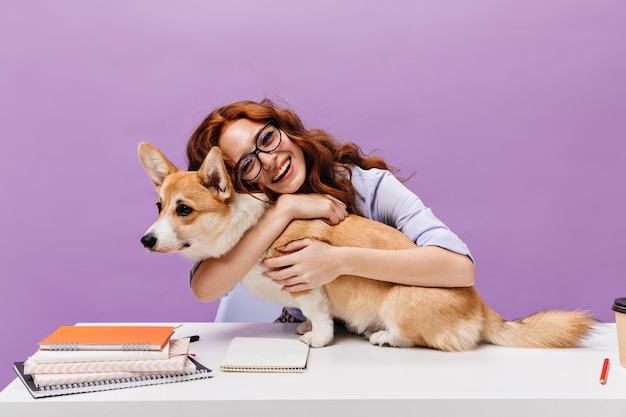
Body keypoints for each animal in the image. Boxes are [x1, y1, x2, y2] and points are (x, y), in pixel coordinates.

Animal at [139, 141, 592, 350]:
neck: (249, 229)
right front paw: (303, 327)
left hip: (401, 301)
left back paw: (385, 337)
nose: (145, 240)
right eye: (158, 206)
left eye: (183, 210)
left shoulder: (309, 284)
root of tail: (484, 309)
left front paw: (316, 339)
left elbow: (320, 317)